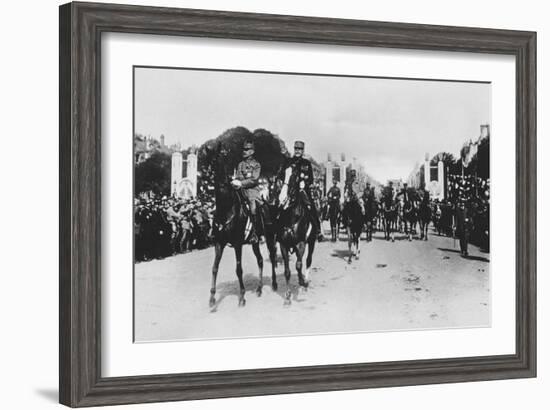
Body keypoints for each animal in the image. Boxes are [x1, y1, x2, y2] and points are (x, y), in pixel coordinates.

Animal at [209, 145, 278, 308]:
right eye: (211, 159)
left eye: (221, 158)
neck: (226, 208)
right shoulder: (219, 243)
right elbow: (214, 268)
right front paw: (212, 298)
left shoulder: (237, 244)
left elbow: (239, 269)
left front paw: (242, 297)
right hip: (255, 242)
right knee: (260, 260)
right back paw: (259, 289)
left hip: (270, 237)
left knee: (272, 257)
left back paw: (274, 283)